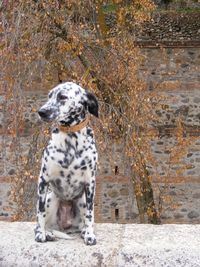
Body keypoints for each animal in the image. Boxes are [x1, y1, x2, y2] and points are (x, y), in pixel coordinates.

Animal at [34, 82, 98, 247]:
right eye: (49, 95)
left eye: (62, 96)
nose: (41, 112)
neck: (71, 140)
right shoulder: (43, 180)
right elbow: (40, 212)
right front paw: (40, 234)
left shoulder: (90, 183)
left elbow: (90, 215)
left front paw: (90, 235)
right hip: (51, 198)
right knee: (46, 222)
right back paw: (48, 233)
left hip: (81, 201)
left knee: (83, 222)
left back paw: (84, 231)